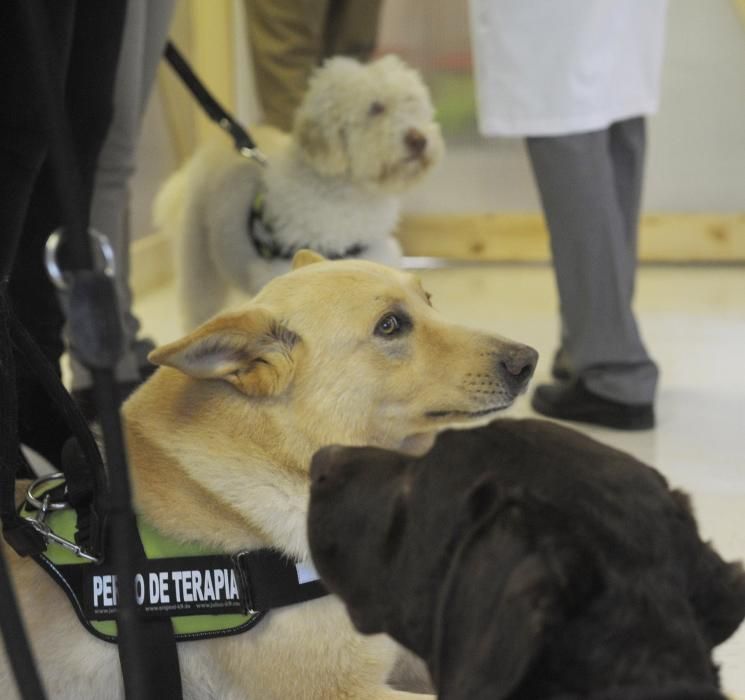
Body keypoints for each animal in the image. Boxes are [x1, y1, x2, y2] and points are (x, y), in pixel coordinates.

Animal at [155, 54, 442, 328]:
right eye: (375, 108)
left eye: (412, 104)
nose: (419, 139)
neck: (348, 198)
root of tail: (202, 154)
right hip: (198, 262)